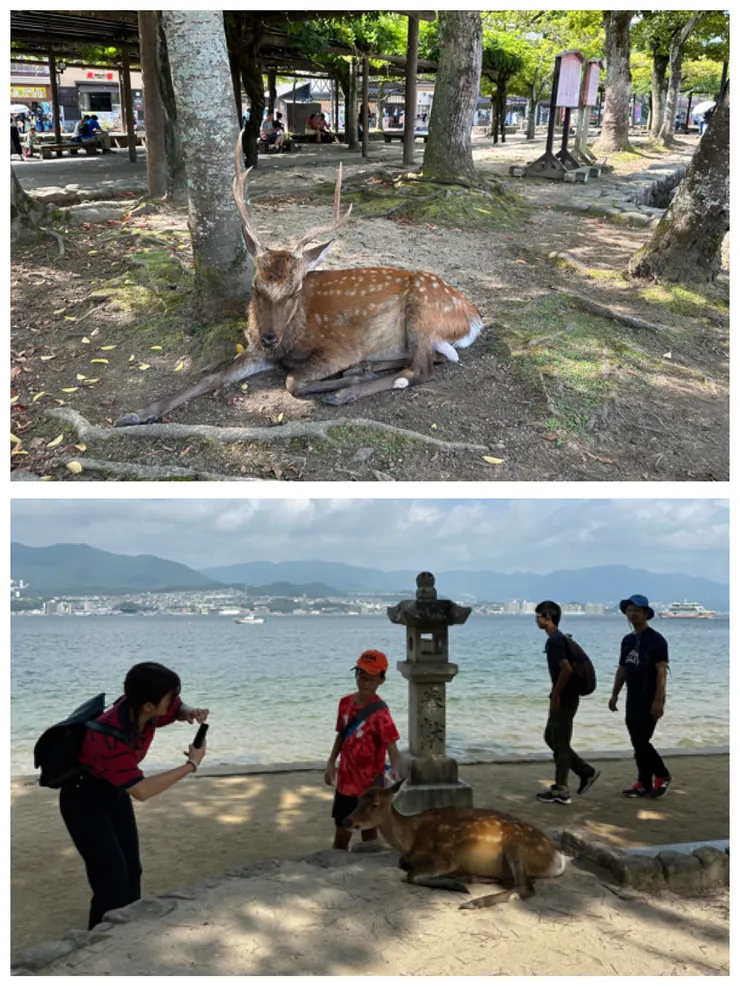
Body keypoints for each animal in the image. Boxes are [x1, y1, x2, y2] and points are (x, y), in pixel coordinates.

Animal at [115, 132, 484, 427]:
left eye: (294, 292)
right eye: (255, 288)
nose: (269, 337)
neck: (294, 335)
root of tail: (474, 317)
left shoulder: (341, 347)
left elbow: (293, 381)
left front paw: (342, 380)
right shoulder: (256, 350)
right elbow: (211, 376)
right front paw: (137, 413)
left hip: (423, 309)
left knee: (422, 369)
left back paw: (350, 387)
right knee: (432, 358)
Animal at [345, 780, 567, 909]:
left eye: (375, 804)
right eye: (357, 799)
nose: (346, 820)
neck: (413, 837)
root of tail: (557, 858)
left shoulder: (447, 857)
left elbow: (411, 875)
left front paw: (454, 885)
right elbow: (403, 863)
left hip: (517, 846)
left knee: (526, 887)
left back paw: (473, 901)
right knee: (517, 882)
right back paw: (469, 878)